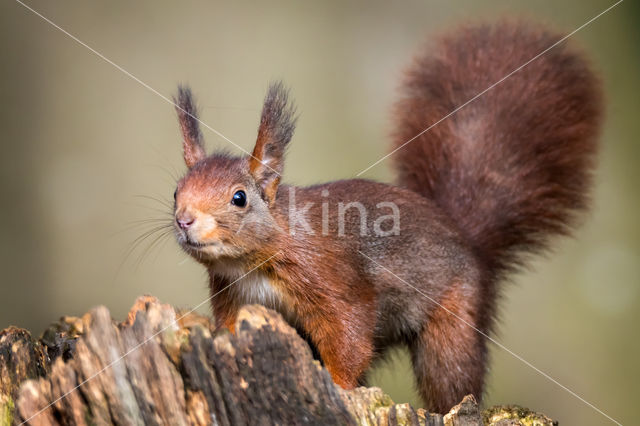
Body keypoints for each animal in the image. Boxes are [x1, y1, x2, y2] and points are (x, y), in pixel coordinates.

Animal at [169, 20, 600, 412]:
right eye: (176, 192)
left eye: (239, 198)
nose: (184, 220)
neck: (252, 261)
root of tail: (468, 240)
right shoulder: (232, 298)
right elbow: (228, 328)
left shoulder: (331, 278)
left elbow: (350, 336)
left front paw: (340, 388)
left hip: (453, 323)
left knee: (453, 378)